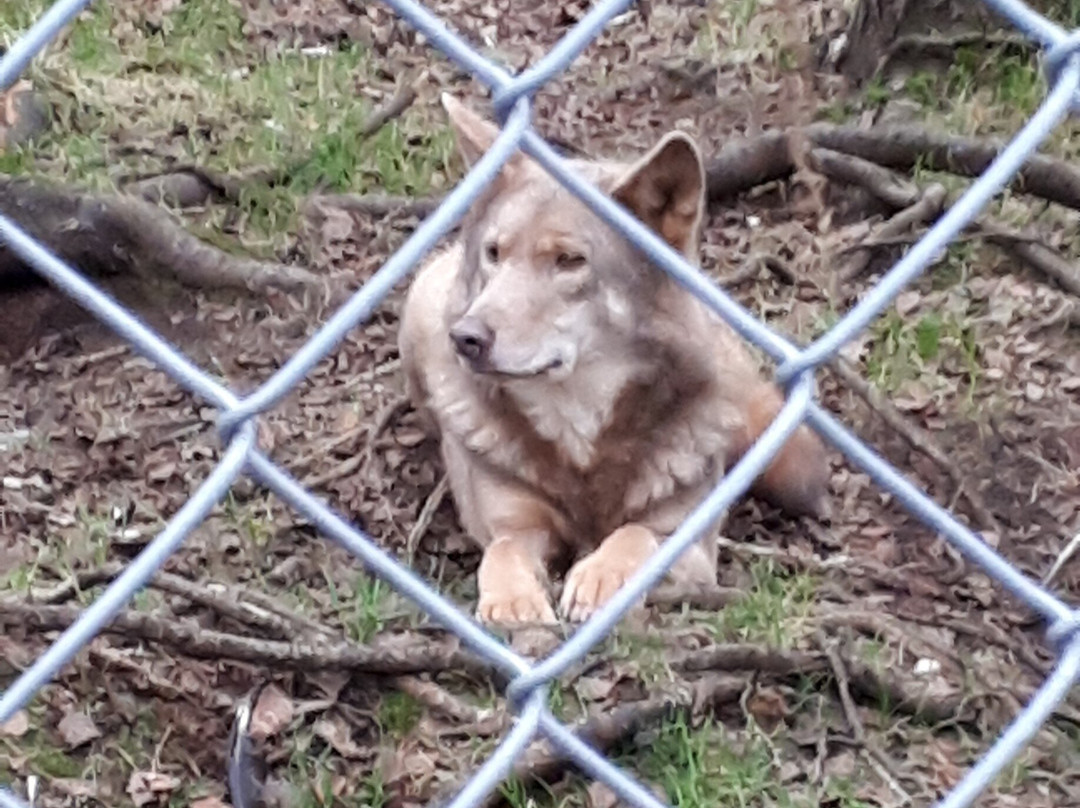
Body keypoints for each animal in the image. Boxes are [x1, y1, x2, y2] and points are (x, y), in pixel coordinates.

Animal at [397, 92, 825, 626]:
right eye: (495, 253)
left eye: (569, 261)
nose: (466, 337)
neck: (580, 427)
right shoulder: (515, 526)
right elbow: (502, 553)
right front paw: (513, 602)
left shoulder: (692, 547)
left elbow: (636, 536)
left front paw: (601, 578)